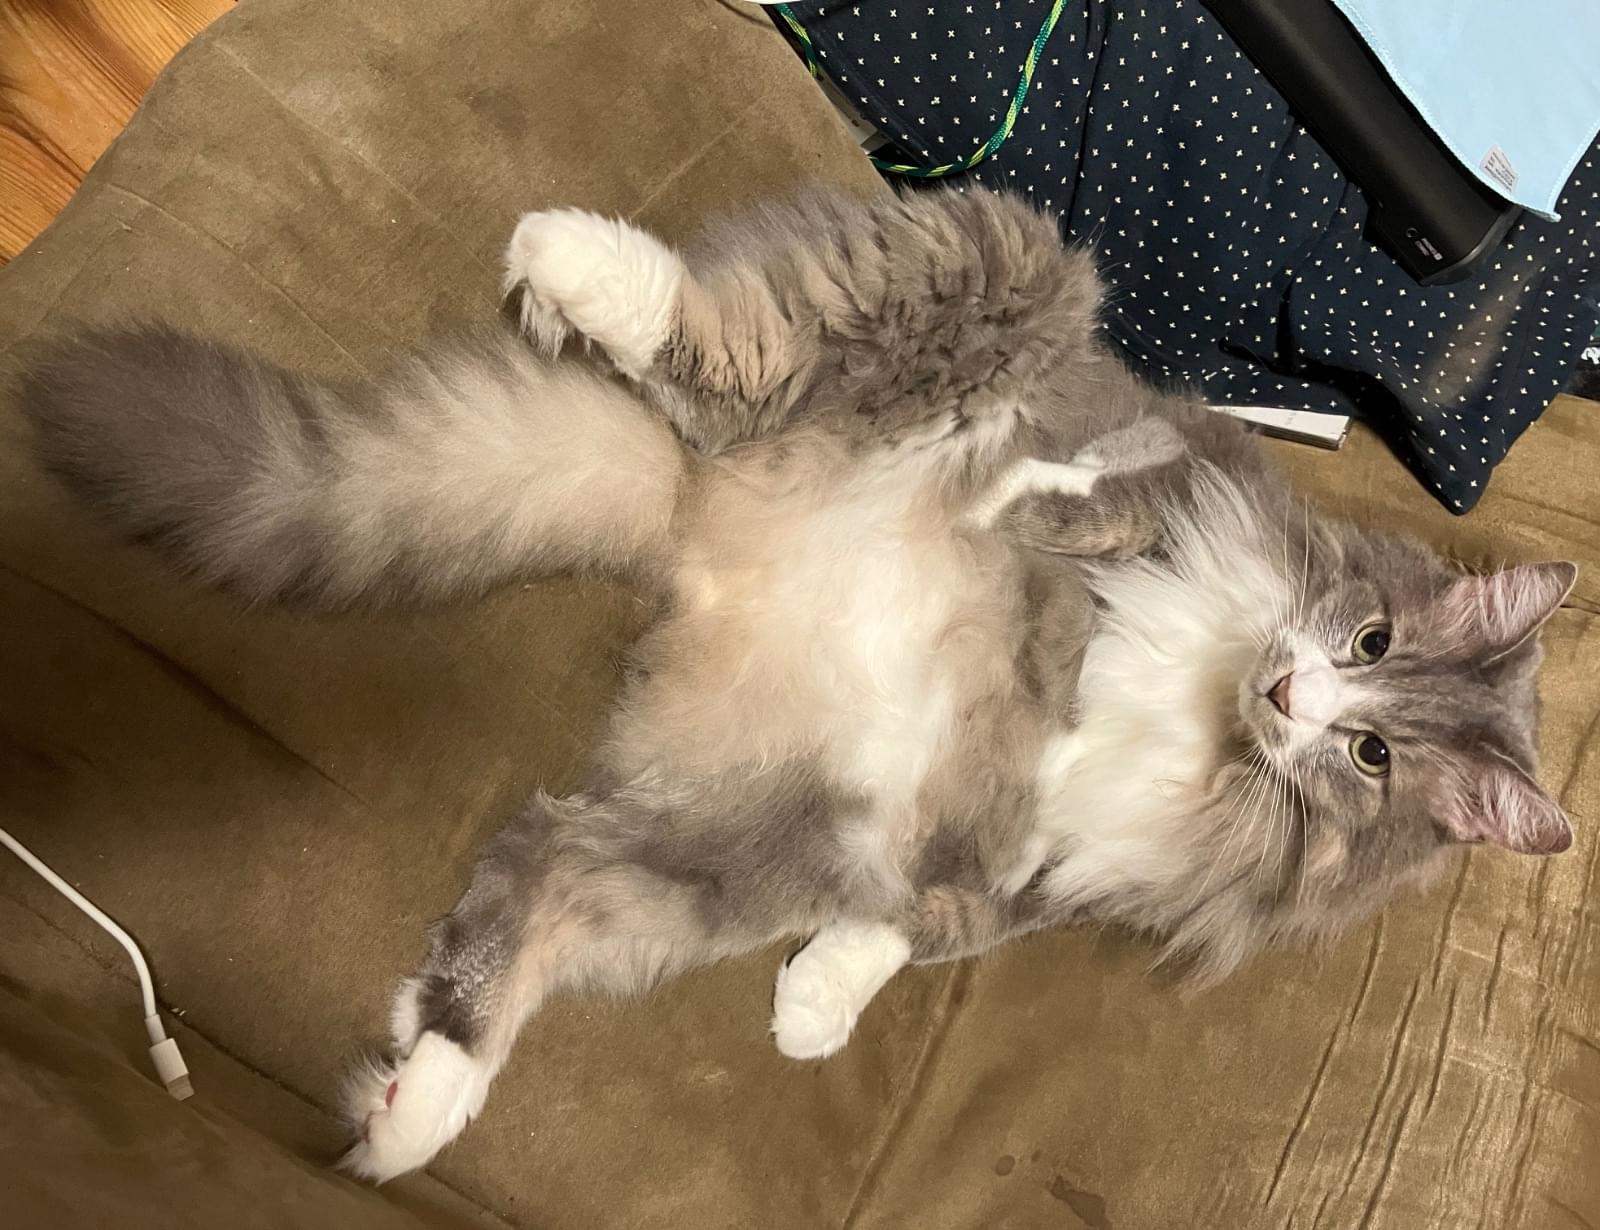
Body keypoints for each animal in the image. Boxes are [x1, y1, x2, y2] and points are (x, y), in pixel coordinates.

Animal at [20, 186, 1575, 1185]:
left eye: (1375, 758)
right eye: (1369, 646)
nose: (1300, 703)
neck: (1218, 738)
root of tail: (704, 536)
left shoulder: (1060, 869)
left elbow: (938, 924)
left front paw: (817, 1007)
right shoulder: (1186, 482)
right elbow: (1088, 506)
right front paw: (1024, 518)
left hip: (748, 844)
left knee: (545, 870)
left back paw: (416, 1106)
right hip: (1011, 262)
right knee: (735, 360)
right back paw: (576, 262)